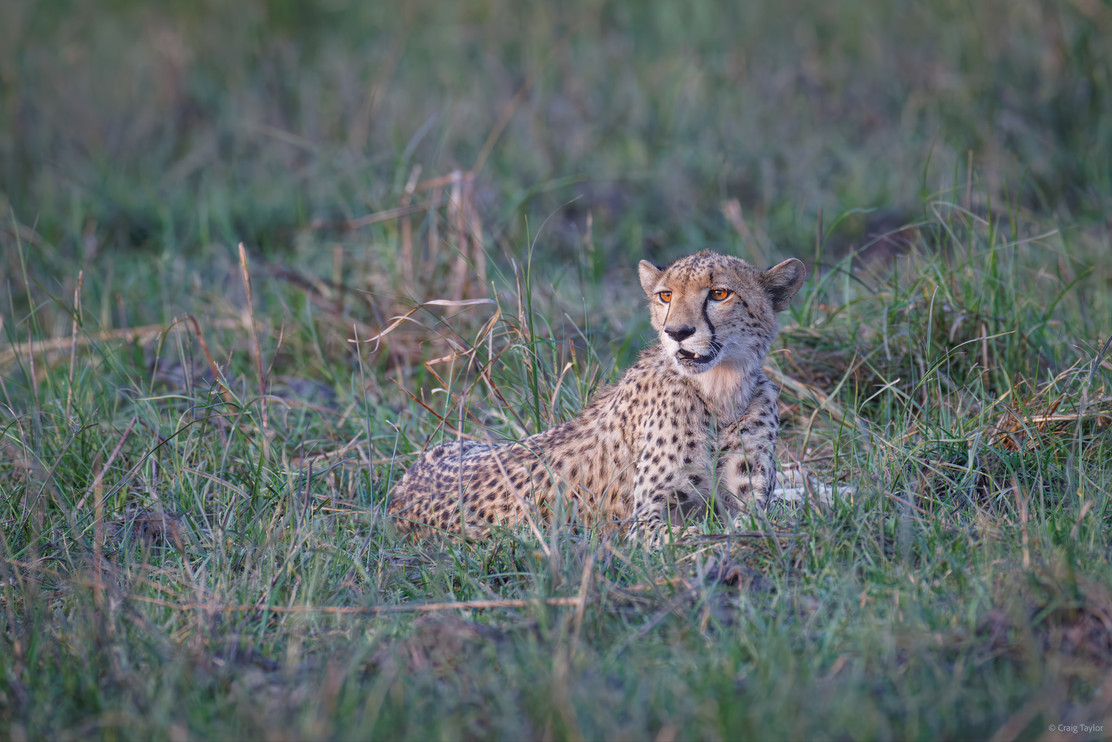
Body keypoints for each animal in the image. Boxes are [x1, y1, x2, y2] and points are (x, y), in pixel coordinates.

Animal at [388, 249, 807, 544]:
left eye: (719, 293)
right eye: (665, 295)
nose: (677, 332)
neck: (720, 391)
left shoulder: (747, 497)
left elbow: (757, 518)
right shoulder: (644, 520)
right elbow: (689, 535)